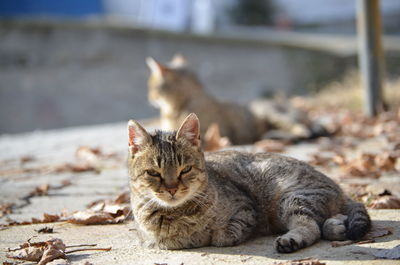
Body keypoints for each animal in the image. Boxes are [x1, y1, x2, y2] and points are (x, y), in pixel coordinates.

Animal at [127, 112, 368, 251]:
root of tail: (337, 187)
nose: (172, 189)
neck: (177, 214)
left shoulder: (246, 208)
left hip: (294, 198)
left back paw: (292, 240)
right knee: (322, 224)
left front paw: (218, 234)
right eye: (153, 173)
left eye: (185, 169)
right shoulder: (156, 241)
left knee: (310, 226)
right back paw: (335, 226)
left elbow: (225, 234)